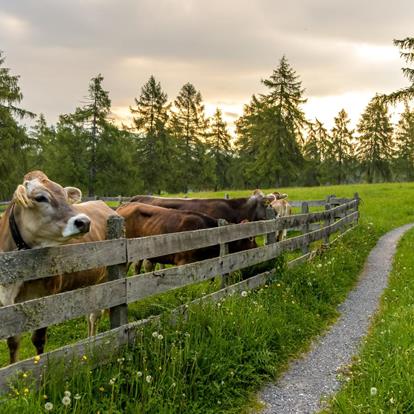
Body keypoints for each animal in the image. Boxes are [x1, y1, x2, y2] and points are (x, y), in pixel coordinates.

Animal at [0, 170, 116, 364]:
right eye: (40, 197)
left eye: (64, 195)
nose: (84, 221)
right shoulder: (7, 304)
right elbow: (13, 342)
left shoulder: (46, 299)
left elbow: (38, 339)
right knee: (90, 315)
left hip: (107, 280)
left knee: (95, 315)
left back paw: (93, 345)